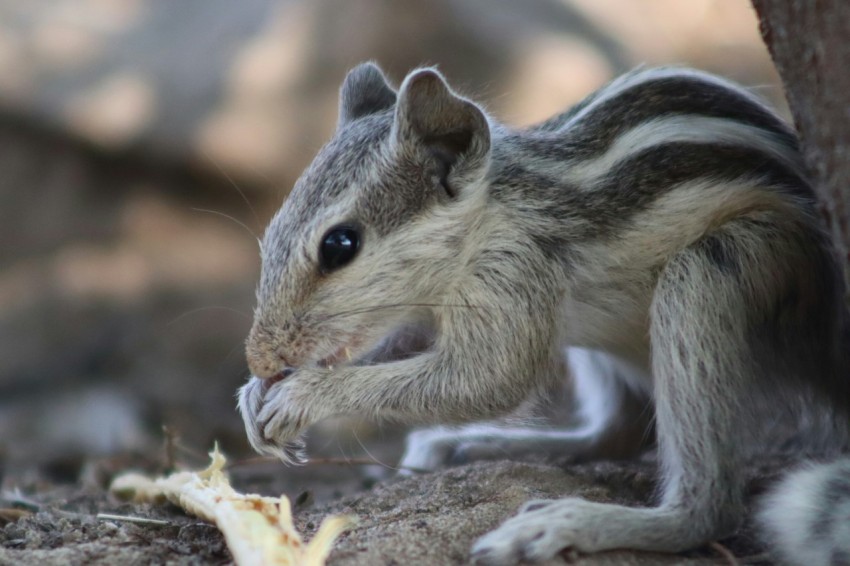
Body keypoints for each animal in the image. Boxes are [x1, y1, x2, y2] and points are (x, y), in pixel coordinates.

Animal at [235, 64, 848, 564]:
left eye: (339, 245)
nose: (260, 359)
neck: (492, 213)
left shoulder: (512, 271)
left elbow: (490, 379)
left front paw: (303, 395)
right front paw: (254, 396)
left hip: (718, 275)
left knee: (709, 507)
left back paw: (581, 521)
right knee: (618, 433)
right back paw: (471, 445)